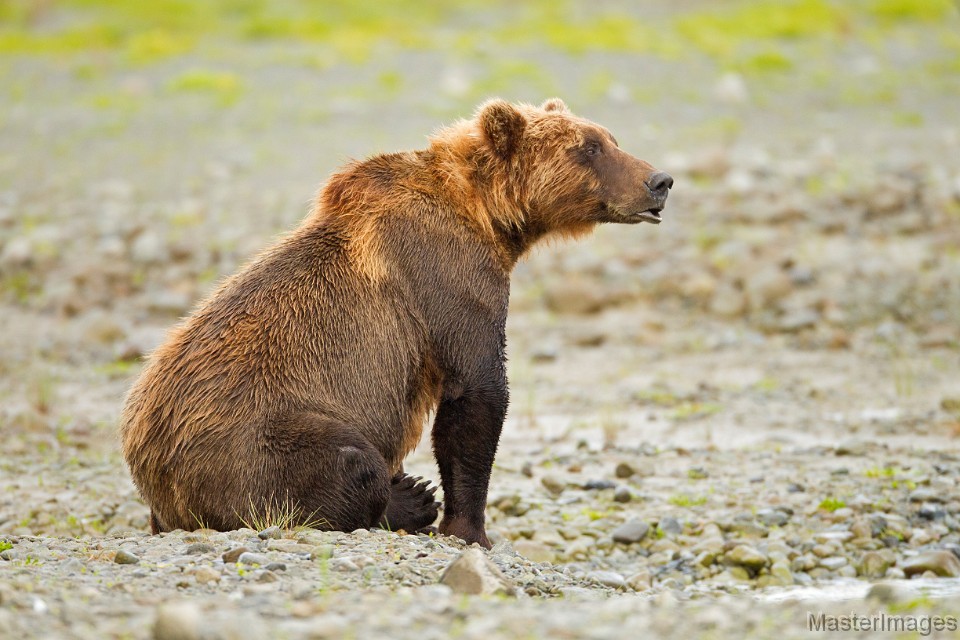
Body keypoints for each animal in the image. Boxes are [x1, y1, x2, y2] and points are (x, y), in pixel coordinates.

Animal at [120, 97, 672, 548]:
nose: (659, 181)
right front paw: (468, 527)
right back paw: (408, 498)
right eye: (589, 147)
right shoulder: (446, 276)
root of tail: (154, 479)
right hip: (253, 441)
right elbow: (476, 393)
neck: (488, 217)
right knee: (345, 463)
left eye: (610, 138)